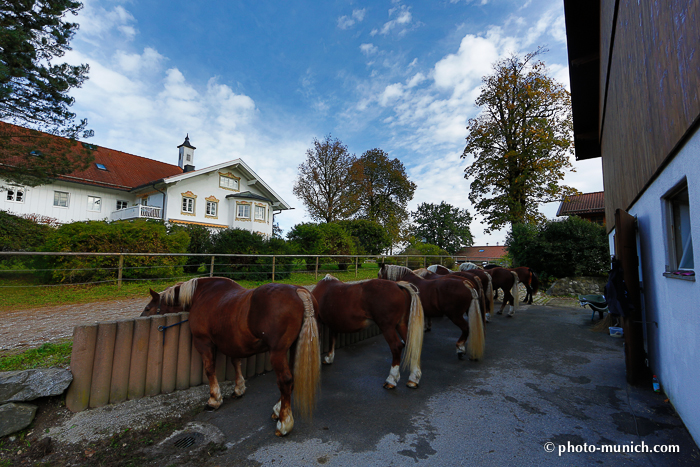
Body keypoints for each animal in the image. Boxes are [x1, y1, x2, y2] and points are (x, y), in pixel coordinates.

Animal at [142, 276, 322, 436]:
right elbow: (236, 362)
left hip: (277, 352)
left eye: (148, 308)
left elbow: (210, 369)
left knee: (285, 380)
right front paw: (239, 388)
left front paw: (214, 399)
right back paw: (278, 410)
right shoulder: (232, 342)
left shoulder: (203, 343)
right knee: (291, 377)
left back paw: (284, 422)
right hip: (292, 347)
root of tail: (298, 291)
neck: (202, 295)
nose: (142, 317)